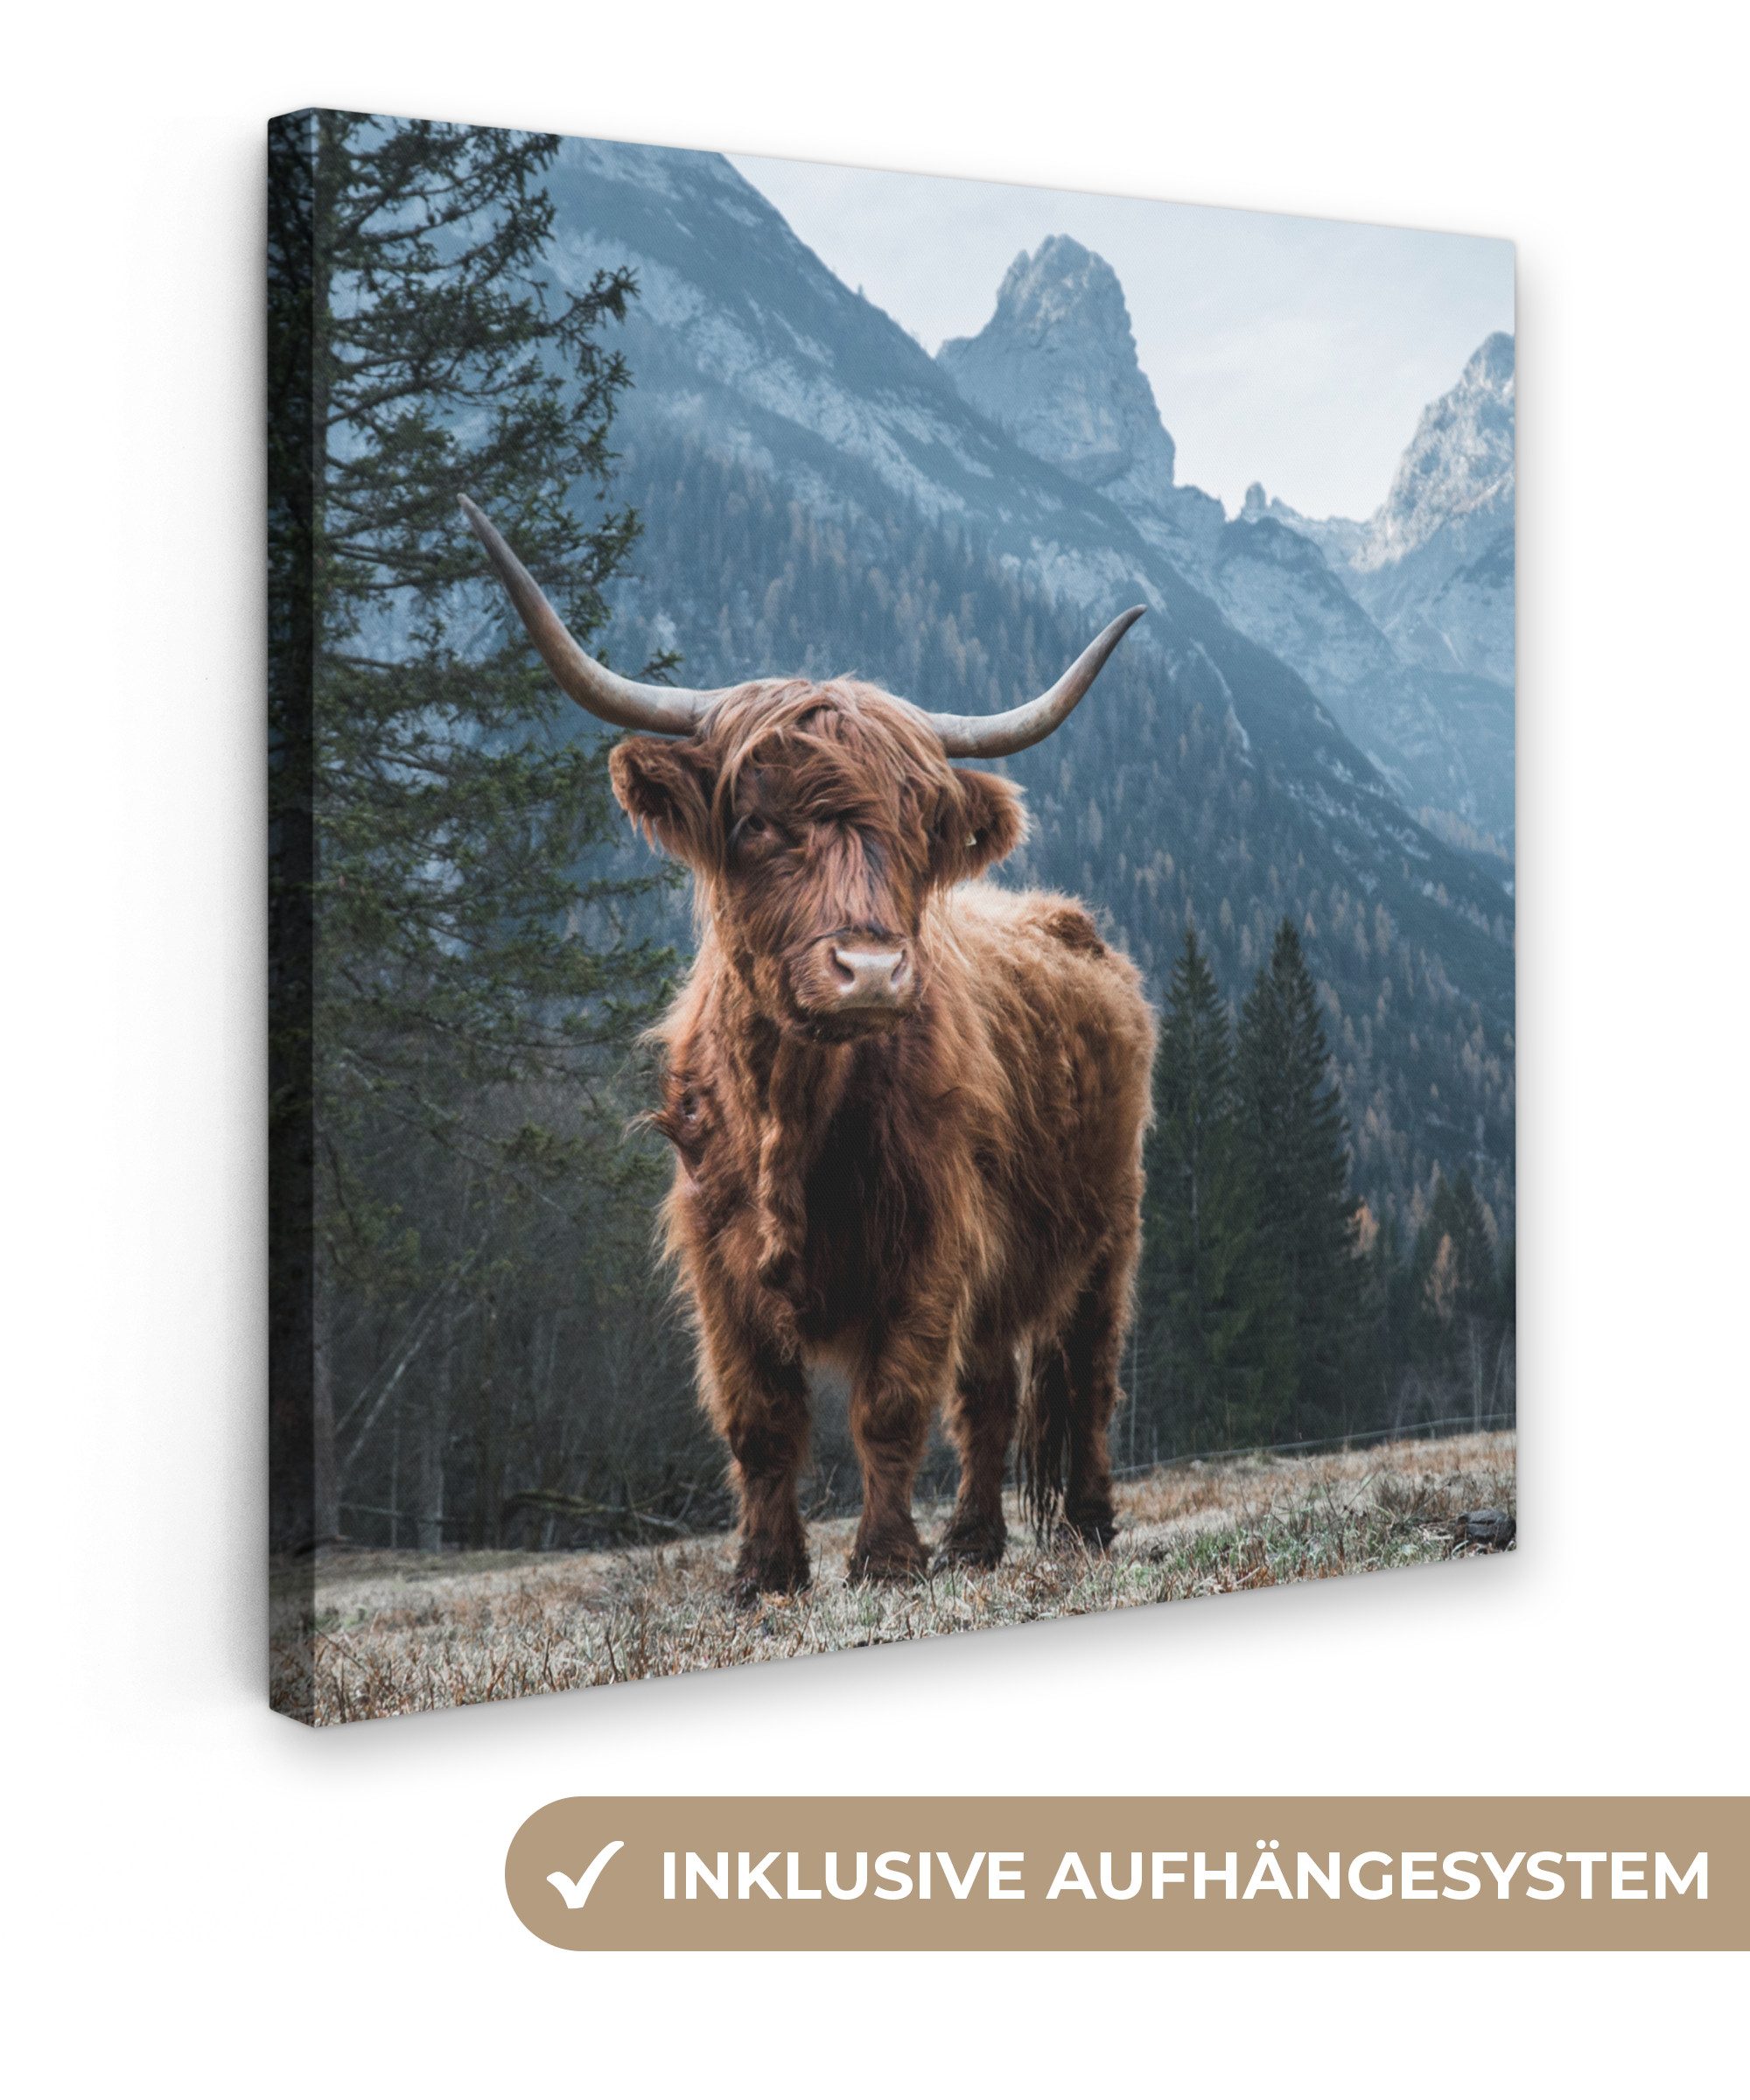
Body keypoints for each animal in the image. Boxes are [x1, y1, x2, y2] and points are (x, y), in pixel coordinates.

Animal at [461, 496, 1156, 1601]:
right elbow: (760, 1419)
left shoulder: (930, 1241)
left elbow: (890, 1406)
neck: (789, 1109)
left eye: (916, 829)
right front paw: (764, 1574)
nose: (870, 971)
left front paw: (883, 1560)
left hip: (1106, 1232)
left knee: (1080, 1377)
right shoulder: (717, 1258)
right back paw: (973, 1540)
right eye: (753, 823)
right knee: (991, 1392)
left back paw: (1077, 1525)